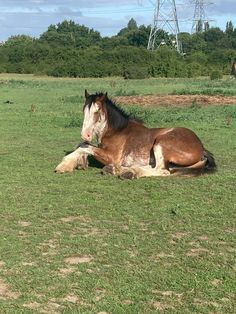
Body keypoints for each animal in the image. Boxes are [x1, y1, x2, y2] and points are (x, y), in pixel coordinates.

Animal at [54, 91, 217, 179]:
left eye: (97, 110)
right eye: (84, 110)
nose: (86, 134)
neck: (116, 131)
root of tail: (201, 147)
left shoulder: (111, 156)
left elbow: (84, 146)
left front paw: (64, 165)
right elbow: (82, 145)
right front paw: (80, 162)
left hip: (161, 143)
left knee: (162, 170)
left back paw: (130, 172)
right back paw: (119, 170)